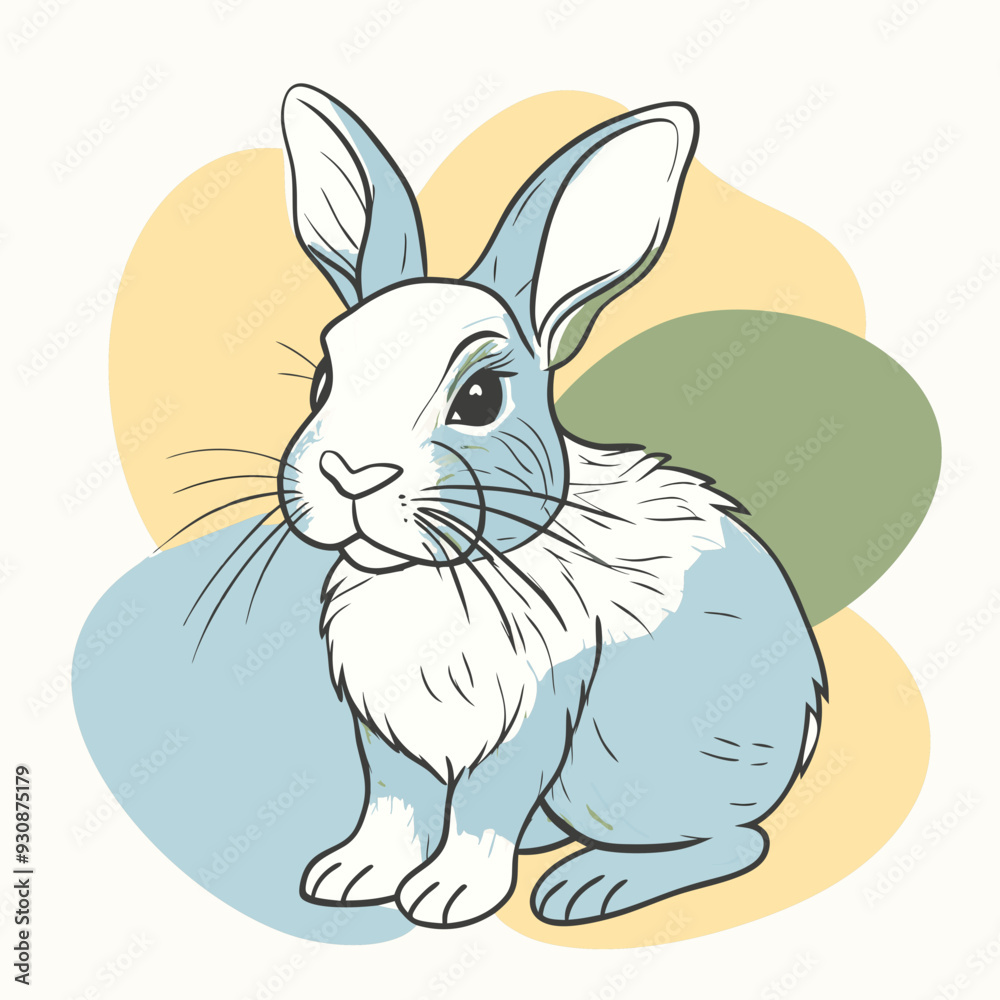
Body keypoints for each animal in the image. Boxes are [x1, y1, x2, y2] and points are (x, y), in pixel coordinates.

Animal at [276, 84, 827, 928]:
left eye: (479, 397)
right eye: (323, 379)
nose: (352, 474)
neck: (437, 574)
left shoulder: (532, 715)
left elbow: (482, 811)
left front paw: (445, 896)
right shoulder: (387, 736)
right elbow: (392, 805)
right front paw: (349, 875)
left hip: (628, 779)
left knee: (736, 844)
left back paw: (589, 886)